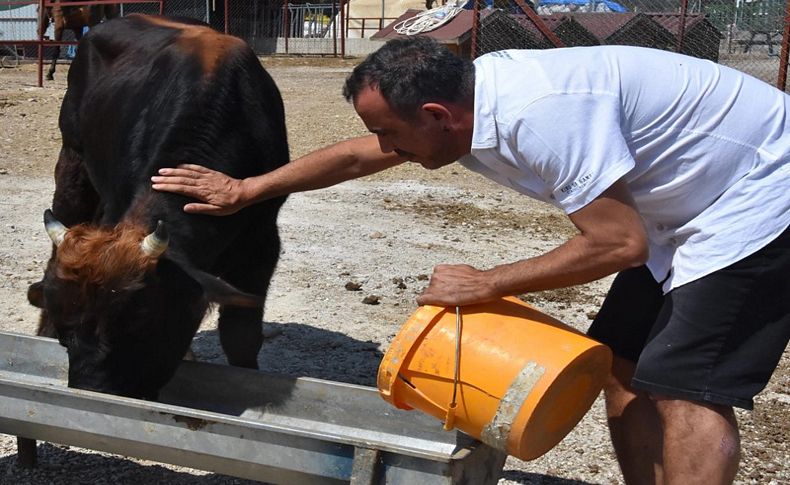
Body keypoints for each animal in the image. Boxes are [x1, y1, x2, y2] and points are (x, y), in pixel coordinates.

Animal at [29, 14, 294, 400]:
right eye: (66, 331)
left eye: (141, 319)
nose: (92, 391)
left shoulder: (262, 242)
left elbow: (241, 336)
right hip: (73, 159)